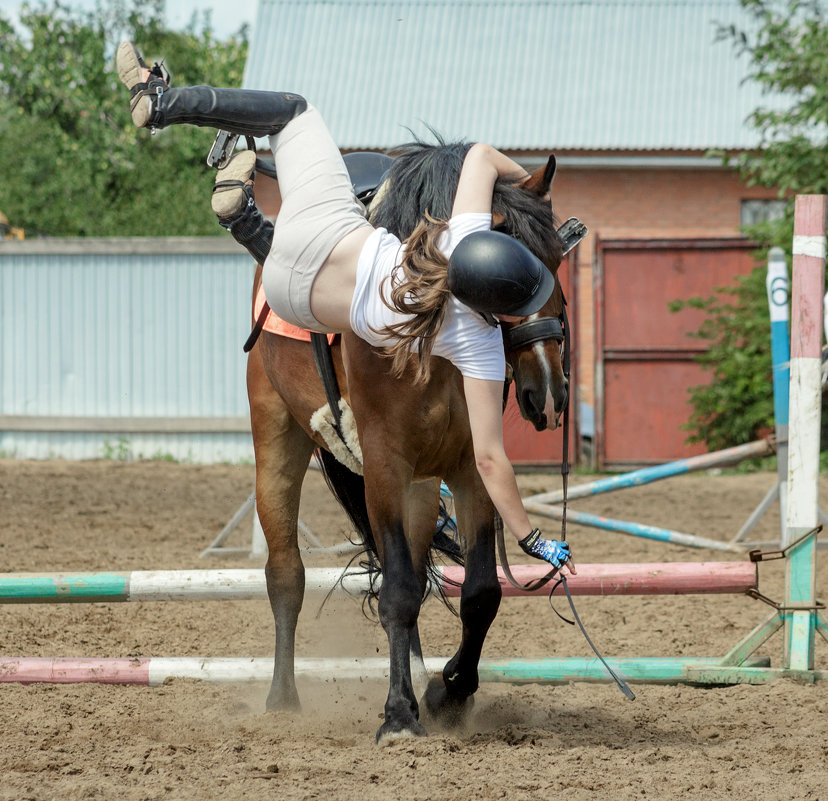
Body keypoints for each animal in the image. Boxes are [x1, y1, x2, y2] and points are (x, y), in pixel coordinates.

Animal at [246, 139, 568, 744]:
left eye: (558, 260)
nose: (550, 392)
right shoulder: (384, 467)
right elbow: (395, 592)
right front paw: (398, 714)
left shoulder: (468, 468)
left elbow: (479, 593)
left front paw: (449, 692)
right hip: (277, 437)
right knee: (286, 576)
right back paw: (280, 699)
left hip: (421, 483)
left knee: (417, 576)